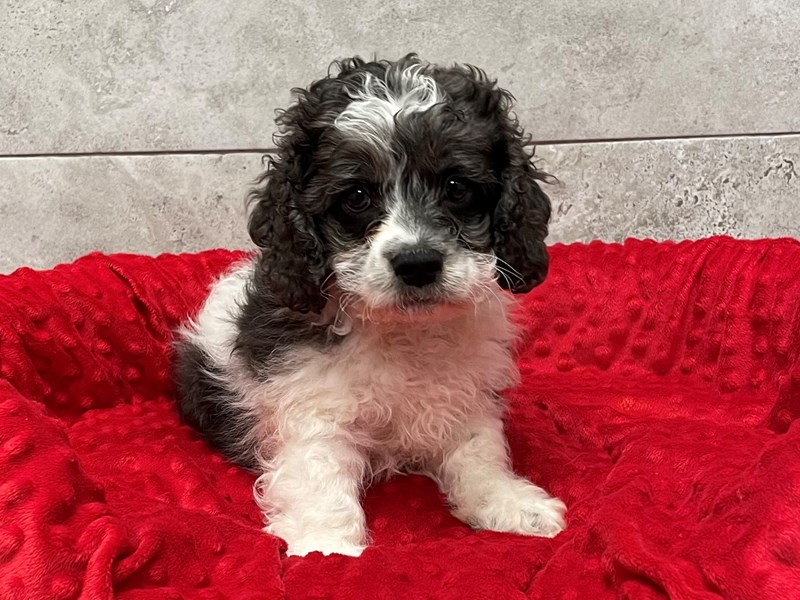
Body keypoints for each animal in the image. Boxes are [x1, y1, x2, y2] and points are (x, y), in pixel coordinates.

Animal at [174, 54, 564, 556]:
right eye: (357, 197)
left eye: (456, 187)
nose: (417, 263)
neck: (403, 331)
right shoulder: (313, 405)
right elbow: (320, 476)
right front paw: (327, 547)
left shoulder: (467, 397)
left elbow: (480, 451)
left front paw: (509, 502)